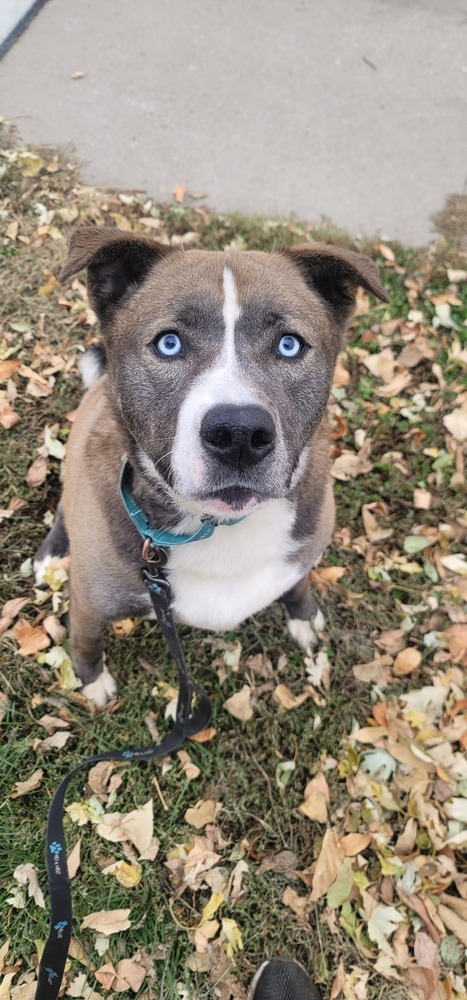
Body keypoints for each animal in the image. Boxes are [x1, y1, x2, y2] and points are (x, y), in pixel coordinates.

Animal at [34, 229, 390, 712]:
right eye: (169, 343)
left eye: (289, 345)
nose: (239, 434)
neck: (219, 528)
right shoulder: (89, 602)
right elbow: (85, 642)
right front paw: (91, 682)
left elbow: (297, 582)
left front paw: (303, 615)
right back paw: (52, 554)